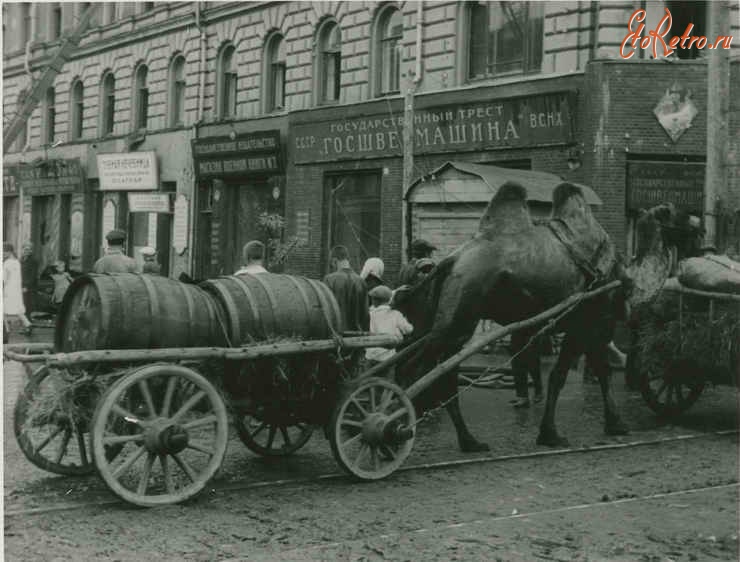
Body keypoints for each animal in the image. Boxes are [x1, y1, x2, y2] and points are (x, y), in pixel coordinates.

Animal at [390, 182, 684, 448]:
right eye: (673, 213)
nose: (695, 224)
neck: (625, 277)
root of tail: (449, 262)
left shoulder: (587, 325)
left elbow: (589, 371)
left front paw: (600, 426)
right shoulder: (591, 322)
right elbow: (576, 373)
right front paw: (560, 433)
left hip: (451, 320)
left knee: (440, 373)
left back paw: (469, 441)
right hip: (460, 311)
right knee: (416, 368)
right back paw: (400, 431)